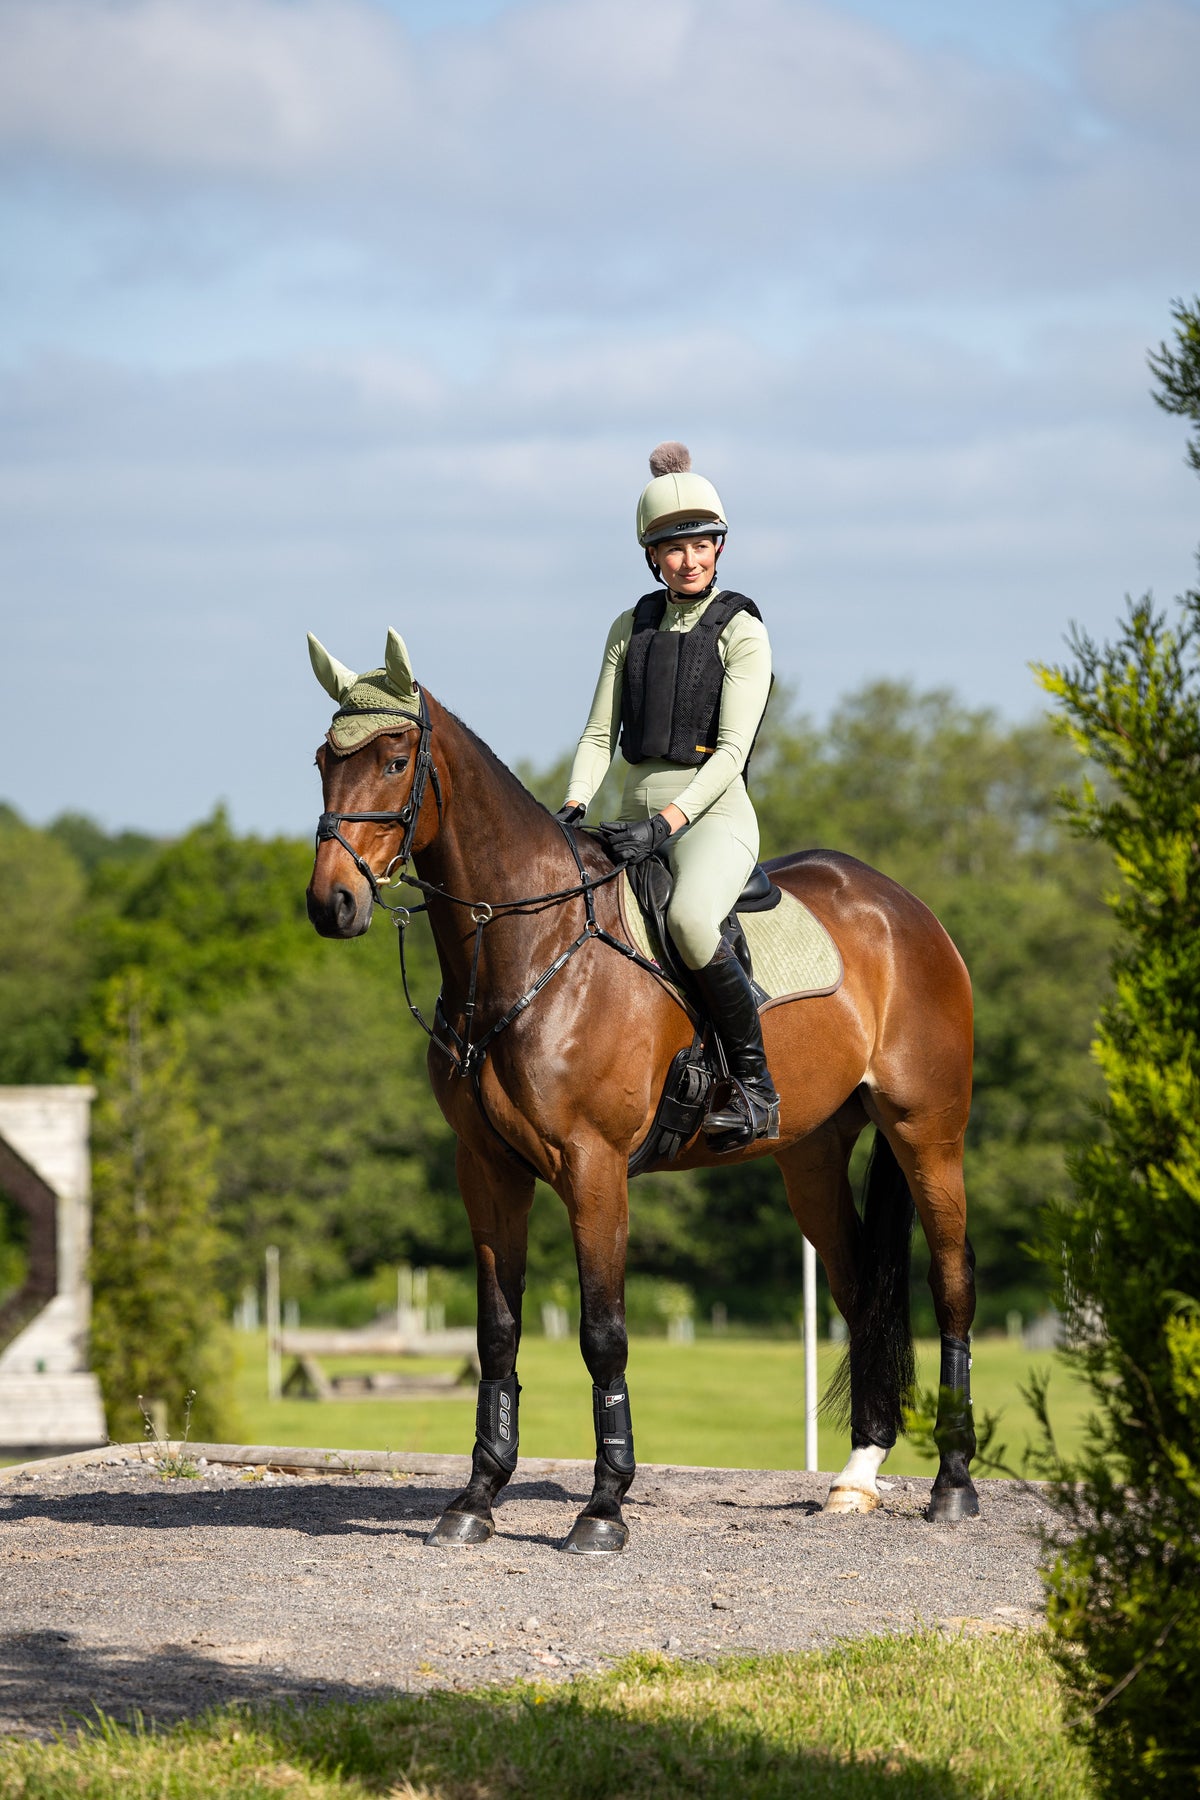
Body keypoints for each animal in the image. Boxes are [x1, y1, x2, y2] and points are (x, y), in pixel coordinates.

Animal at [305, 630, 978, 1548]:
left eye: (396, 760)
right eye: (321, 762)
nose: (330, 905)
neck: (527, 944)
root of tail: (908, 910)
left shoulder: (593, 1169)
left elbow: (604, 1335)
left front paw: (603, 1506)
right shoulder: (487, 1169)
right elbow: (498, 1332)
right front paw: (476, 1497)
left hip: (927, 1136)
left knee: (951, 1284)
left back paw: (954, 1482)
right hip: (809, 1159)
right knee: (859, 1291)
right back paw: (857, 1476)